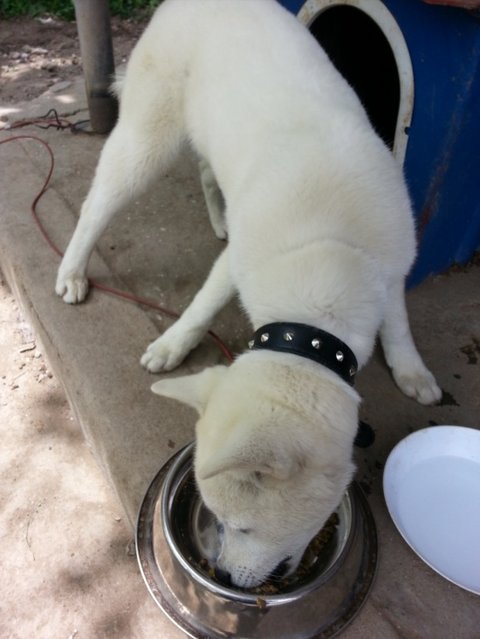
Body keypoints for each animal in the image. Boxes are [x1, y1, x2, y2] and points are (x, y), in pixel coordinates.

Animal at [56, 0, 441, 588]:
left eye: (243, 528)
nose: (224, 575)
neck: (329, 252)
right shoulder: (240, 265)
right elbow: (203, 305)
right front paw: (172, 345)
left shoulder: (394, 264)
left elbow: (397, 324)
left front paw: (412, 370)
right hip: (144, 147)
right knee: (95, 206)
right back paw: (73, 271)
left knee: (207, 172)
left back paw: (218, 218)